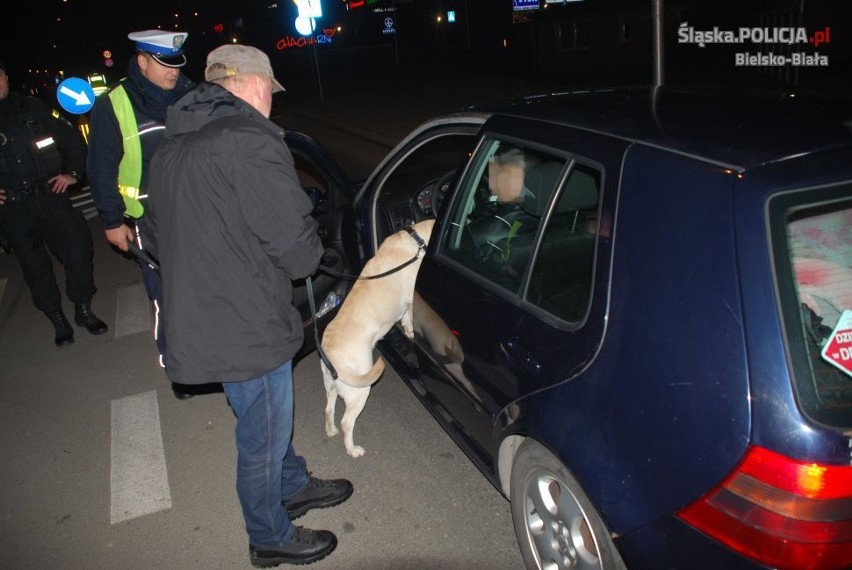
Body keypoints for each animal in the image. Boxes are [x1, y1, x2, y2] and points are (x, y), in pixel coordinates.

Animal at [322, 219, 436, 458]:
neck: (416, 240)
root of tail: (328, 351)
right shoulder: (412, 297)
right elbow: (412, 314)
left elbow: (407, 318)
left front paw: (409, 330)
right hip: (360, 390)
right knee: (347, 422)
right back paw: (352, 449)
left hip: (331, 387)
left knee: (328, 409)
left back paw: (330, 430)